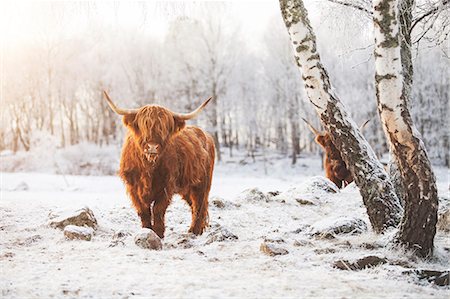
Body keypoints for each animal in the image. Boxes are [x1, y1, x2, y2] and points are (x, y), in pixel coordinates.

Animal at [106, 91, 218, 239]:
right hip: (187, 188)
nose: (152, 147)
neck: (148, 167)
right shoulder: (133, 188)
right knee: (194, 205)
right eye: (143, 125)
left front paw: (158, 233)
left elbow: (158, 209)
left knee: (199, 205)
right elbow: (144, 211)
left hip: (202, 184)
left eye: (164, 128)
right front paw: (146, 231)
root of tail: (206, 135)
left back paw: (195, 231)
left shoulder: (166, 186)